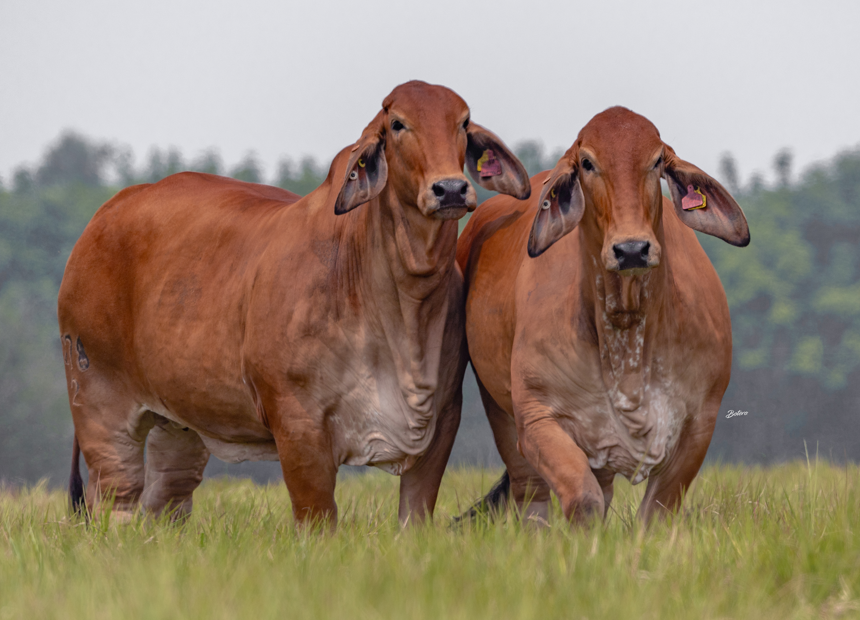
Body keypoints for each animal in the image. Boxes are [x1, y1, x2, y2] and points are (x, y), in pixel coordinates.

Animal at [58, 80, 532, 528]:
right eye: (398, 124)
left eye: (463, 122)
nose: (450, 188)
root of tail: (104, 215)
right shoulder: (299, 426)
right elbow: (318, 520)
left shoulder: (441, 421)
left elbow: (414, 517)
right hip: (100, 407)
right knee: (115, 500)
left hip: (178, 422)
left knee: (167, 498)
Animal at [456, 109, 744, 524]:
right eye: (588, 163)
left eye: (656, 160)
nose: (632, 249)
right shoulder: (537, 418)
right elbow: (583, 500)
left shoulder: (699, 424)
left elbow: (655, 512)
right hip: (502, 414)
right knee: (532, 497)